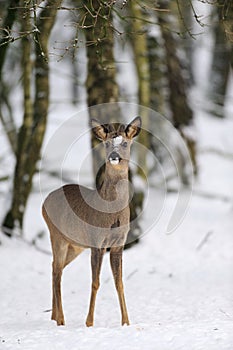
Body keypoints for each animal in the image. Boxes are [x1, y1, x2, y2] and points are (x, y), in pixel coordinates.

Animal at [41, 116, 142, 326]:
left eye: (125, 143)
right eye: (107, 143)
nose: (114, 156)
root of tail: (43, 202)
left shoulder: (119, 243)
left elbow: (119, 282)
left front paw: (126, 322)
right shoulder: (97, 242)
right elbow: (95, 282)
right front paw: (89, 322)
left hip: (75, 245)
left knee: (55, 266)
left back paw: (54, 316)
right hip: (57, 235)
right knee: (57, 270)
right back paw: (60, 319)